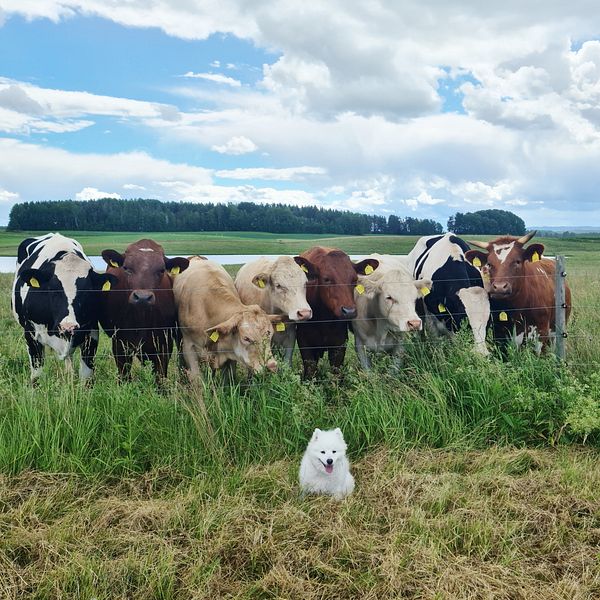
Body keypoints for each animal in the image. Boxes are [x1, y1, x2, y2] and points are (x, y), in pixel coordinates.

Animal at [10, 233, 115, 380]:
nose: (68, 326)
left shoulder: (92, 334)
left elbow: (86, 375)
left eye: (88, 291)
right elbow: (36, 375)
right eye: (52, 290)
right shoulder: (30, 334)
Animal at [296, 246, 380, 378]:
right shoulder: (304, 342)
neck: (323, 320)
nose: (349, 311)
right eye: (326, 279)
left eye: (354, 279)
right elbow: (310, 371)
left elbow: (336, 373)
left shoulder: (339, 344)